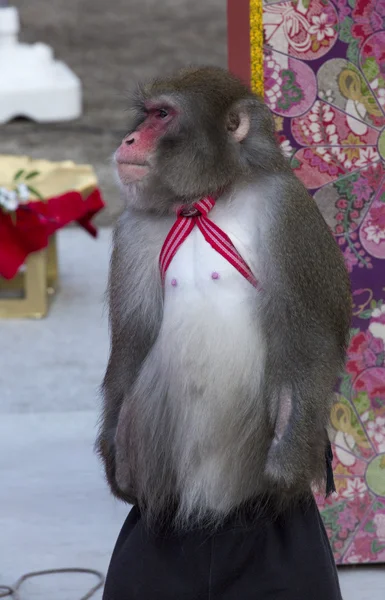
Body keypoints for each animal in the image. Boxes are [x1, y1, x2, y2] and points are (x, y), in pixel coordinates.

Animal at [97, 65, 350, 600]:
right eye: (146, 115)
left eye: (162, 115)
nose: (129, 138)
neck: (203, 204)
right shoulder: (132, 229)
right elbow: (131, 349)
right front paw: (118, 471)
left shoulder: (287, 212)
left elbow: (311, 343)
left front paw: (286, 467)